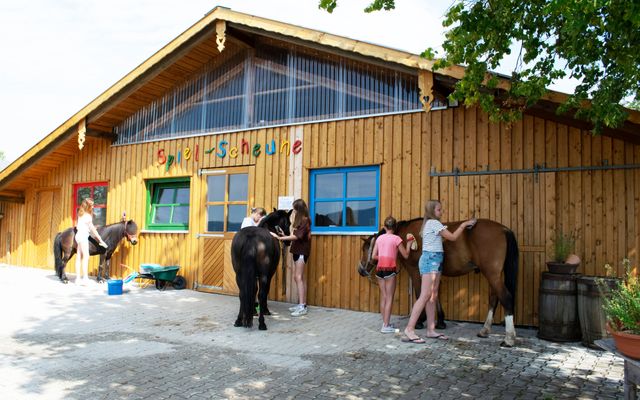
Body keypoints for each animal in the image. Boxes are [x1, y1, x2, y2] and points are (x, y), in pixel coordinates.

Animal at [360, 219, 520, 346]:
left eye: (366, 249)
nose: (360, 270)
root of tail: (503, 229)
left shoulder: (416, 272)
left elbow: (419, 293)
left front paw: (420, 321)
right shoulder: (433, 273)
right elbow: (434, 296)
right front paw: (440, 321)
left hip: (492, 274)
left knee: (505, 298)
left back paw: (509, 339)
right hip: (494, 275)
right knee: (494, 298)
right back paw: (485, 330)